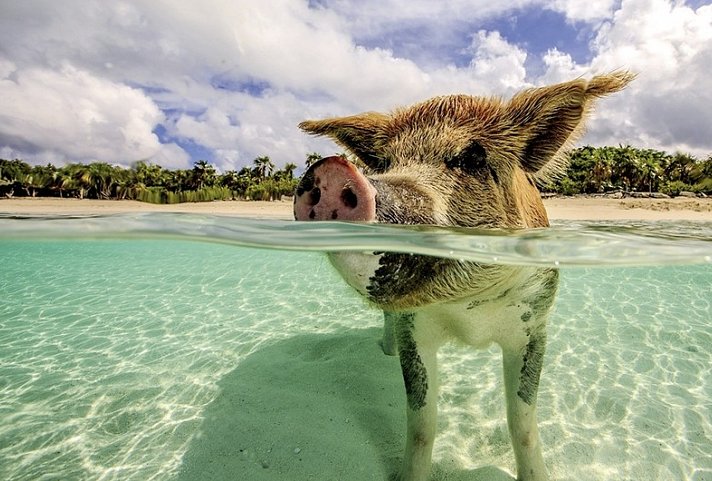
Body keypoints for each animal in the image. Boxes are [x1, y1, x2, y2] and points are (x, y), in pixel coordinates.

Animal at [292, 72, 632, 480]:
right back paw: (385, 351)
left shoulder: (534, 322)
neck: (469, 312)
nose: (331, 170)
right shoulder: (414, 330)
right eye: (384, 164)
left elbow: (522, 421)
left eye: (472, 158)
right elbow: (422, 423)